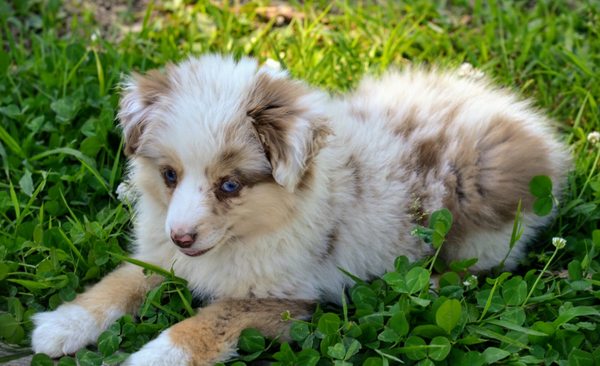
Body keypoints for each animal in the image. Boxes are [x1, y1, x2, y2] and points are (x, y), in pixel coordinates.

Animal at [30, 53, 568, 364]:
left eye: (229, 185)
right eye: (169, 175)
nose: (183, 236)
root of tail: (531, 133)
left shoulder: (284, 299)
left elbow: (202, 325)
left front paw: (150, 357)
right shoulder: (162, 256)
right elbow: (119, 281)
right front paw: (62, 325)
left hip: (484, 226)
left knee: (482, 267)